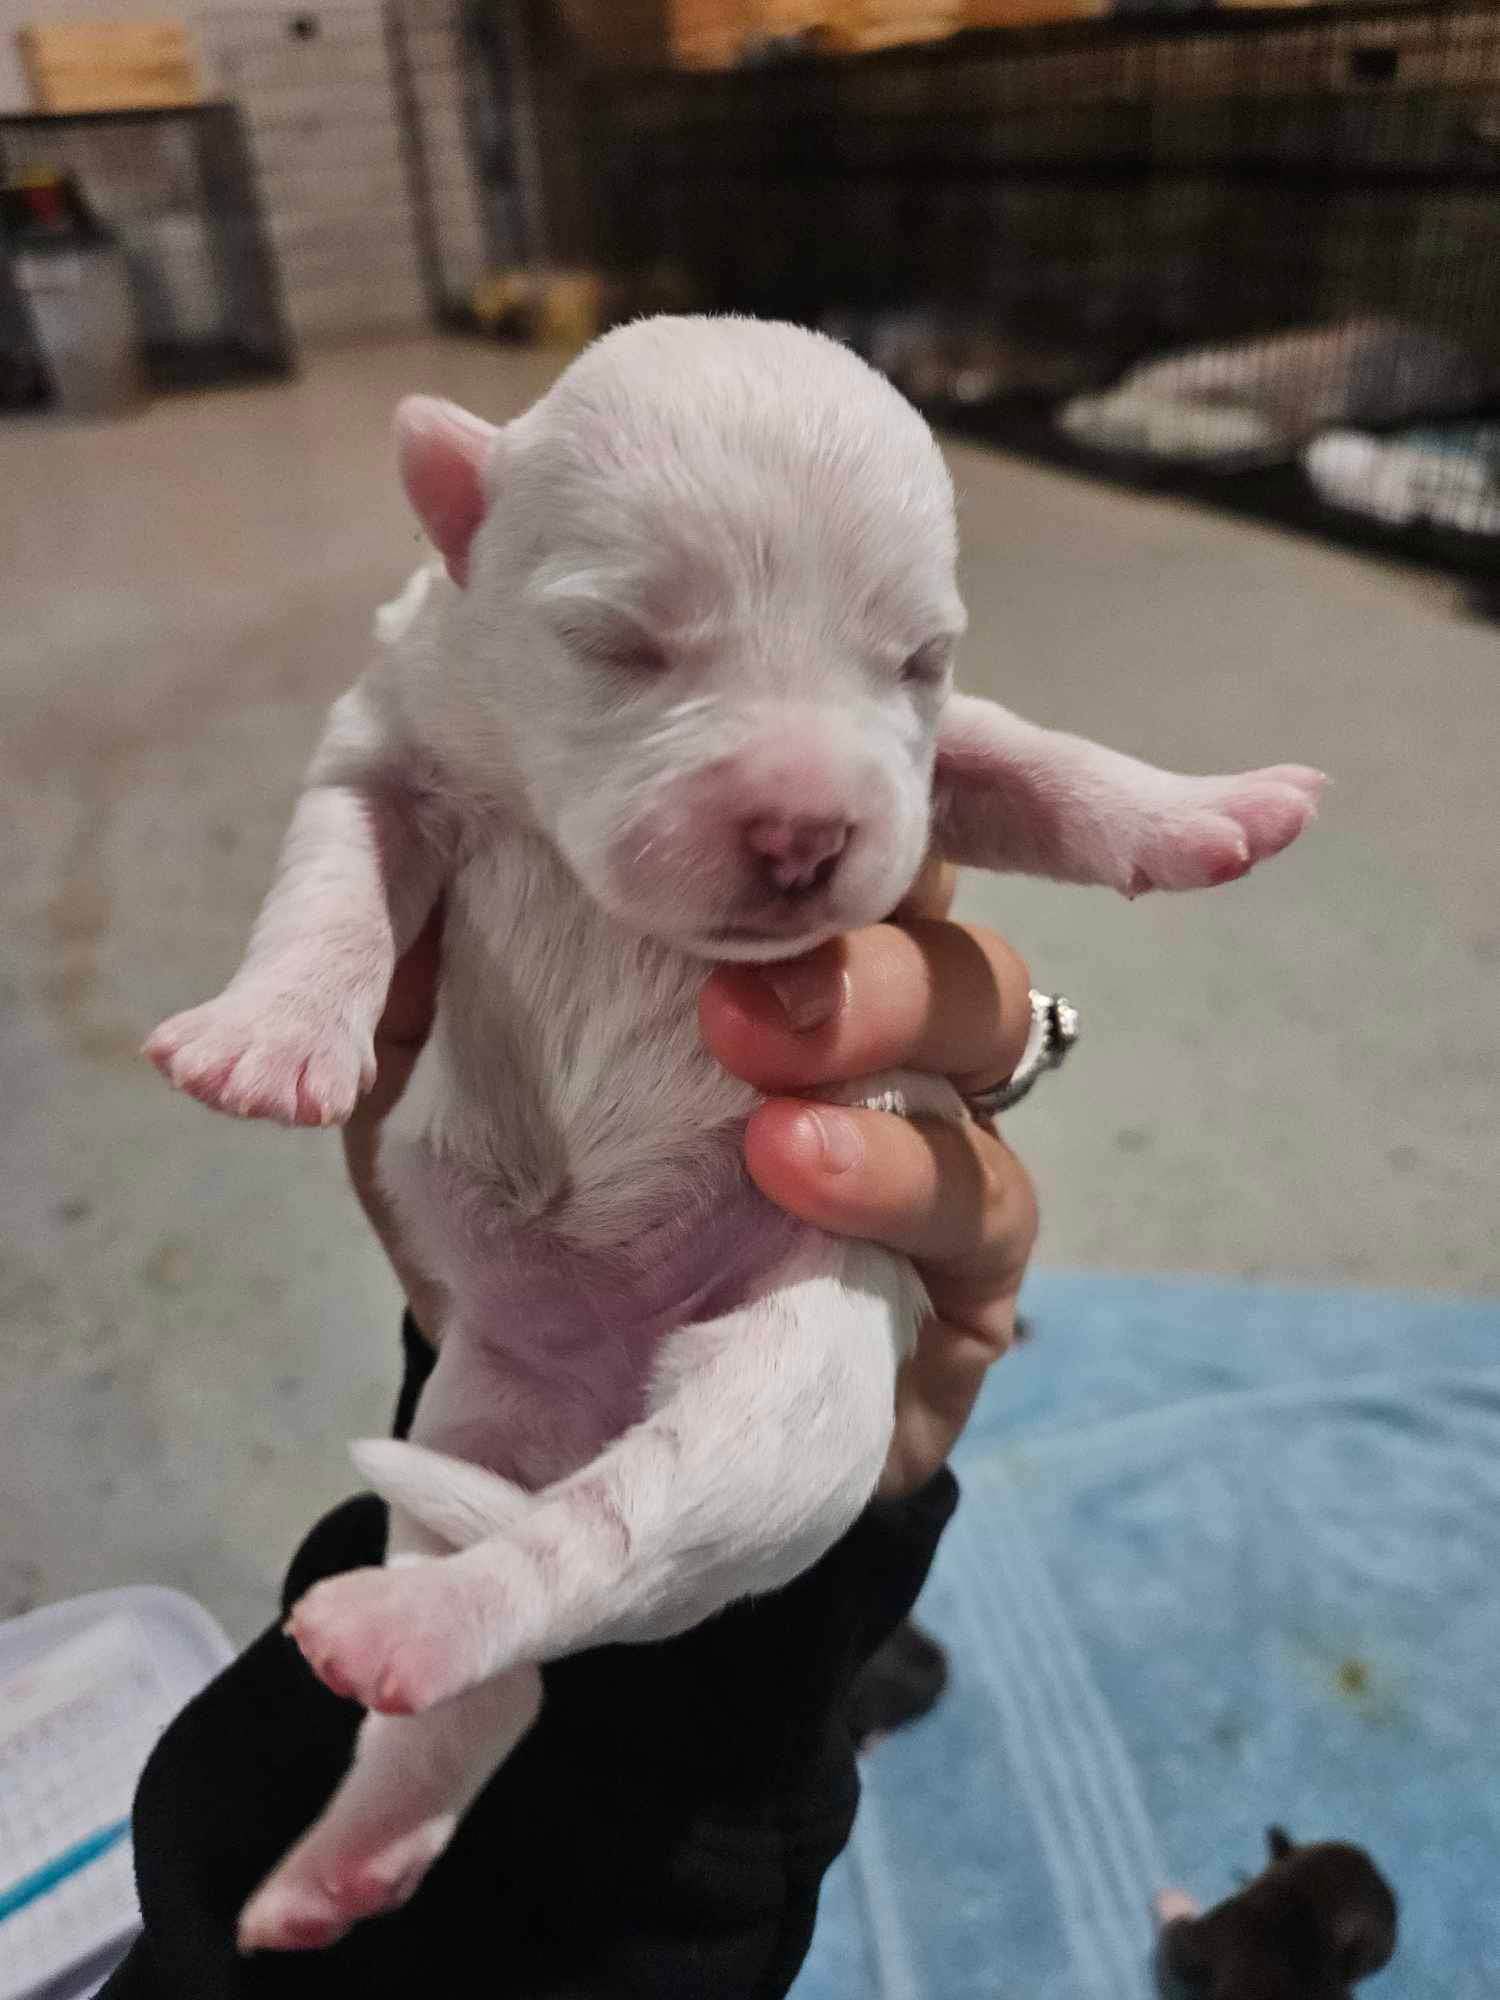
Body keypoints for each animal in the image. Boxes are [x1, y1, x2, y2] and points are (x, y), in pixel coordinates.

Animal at [147, 316, 1320, 1952]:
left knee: (602, 1549)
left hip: (793, 1388)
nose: (807, 830)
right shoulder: (379, 742)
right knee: (496, 1674)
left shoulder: (937, 762)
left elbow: (1036, 762)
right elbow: (329, 887)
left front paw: (1212, 811)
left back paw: (394, 1660)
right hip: (470, 1415)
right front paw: (263, 1036)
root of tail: (603, 1390)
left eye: (918, 658)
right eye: (620, 642)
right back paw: (346, 1840)